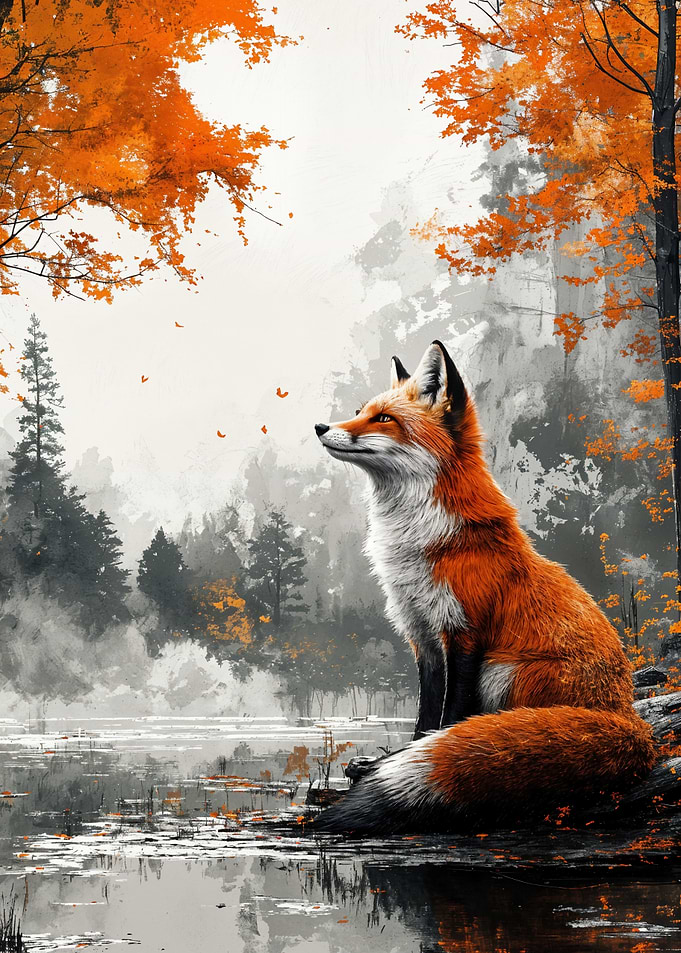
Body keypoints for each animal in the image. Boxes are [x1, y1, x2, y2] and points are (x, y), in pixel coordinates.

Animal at [312, 339, 656, 834]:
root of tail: (628, 719)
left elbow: (451, 713)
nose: (320, 426)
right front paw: (396, 755)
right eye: (360, 411)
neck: (419, 542)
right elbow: (425, 716)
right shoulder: (422, 636)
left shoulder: (465, 631)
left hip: (505, 672)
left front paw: (410, 755)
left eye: (384, 419)